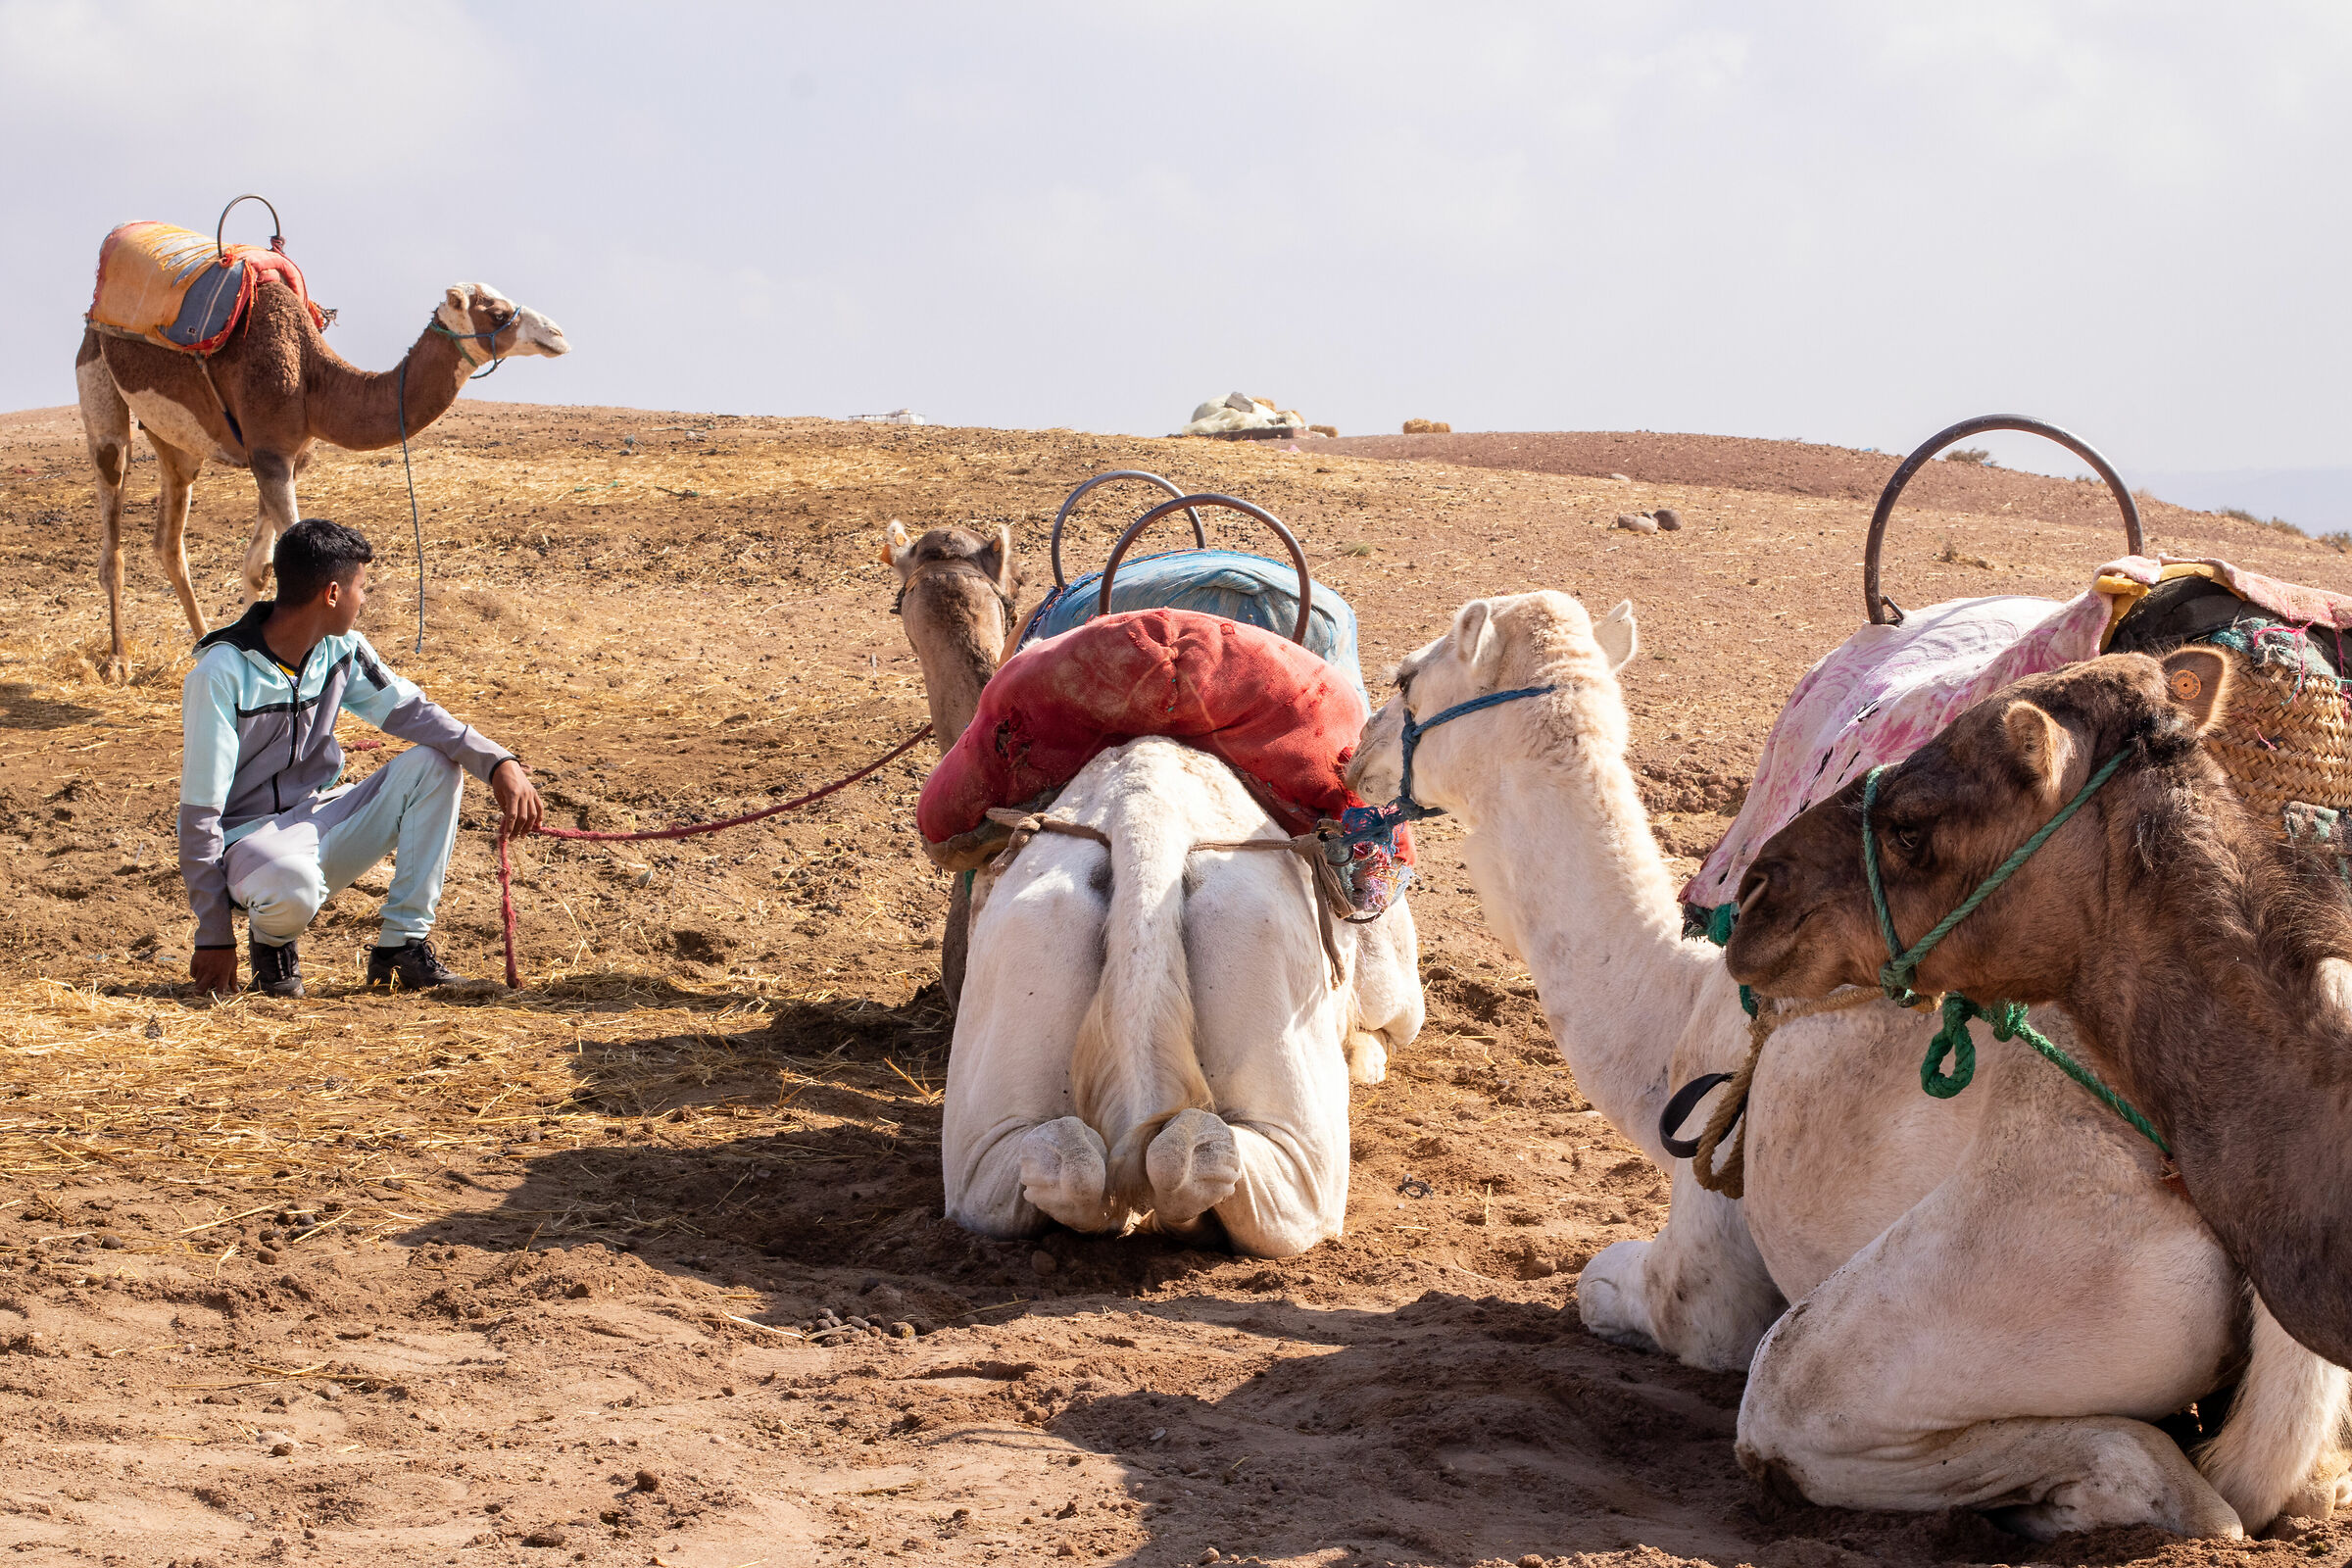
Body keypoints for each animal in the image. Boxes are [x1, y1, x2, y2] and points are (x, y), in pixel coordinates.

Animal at [76, 276, 568, 679]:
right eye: (497, 312)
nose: (558, 335)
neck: (313, 378)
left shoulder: (288, 458)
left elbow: (257, 567)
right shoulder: (269, 455)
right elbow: (291, 551)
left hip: (175, 443)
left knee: (169, 540)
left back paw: (199, 639)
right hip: (98, 380)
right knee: (113, 509)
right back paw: (118, 662)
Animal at [944, 735, 1424, 1253]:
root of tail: (1144, 816)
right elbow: (1389, 1025)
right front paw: (1368, 1059)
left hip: (1026, 947)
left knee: (1048, 1166)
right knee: (1266, 1186)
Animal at [1341, 590, 2349, 1538]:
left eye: (1406, 679)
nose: (1354, 753)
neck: (1673, 1011)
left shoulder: (1708, 1229)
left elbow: (1619, 1292)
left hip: (2030, 1271)